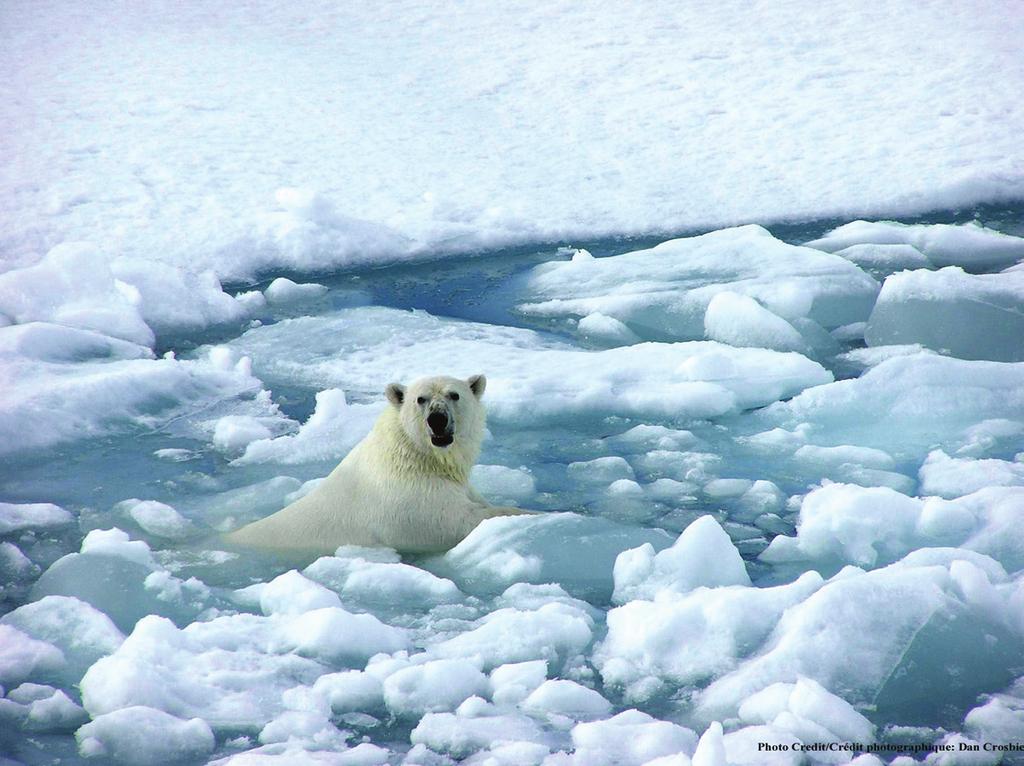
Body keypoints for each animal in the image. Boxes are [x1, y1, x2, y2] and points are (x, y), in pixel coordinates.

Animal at [225, 372, 528, 557]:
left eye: (454, 395)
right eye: (420, 399)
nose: (437, 419)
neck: (416, 457)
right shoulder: (410, 501)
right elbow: (458, 521)